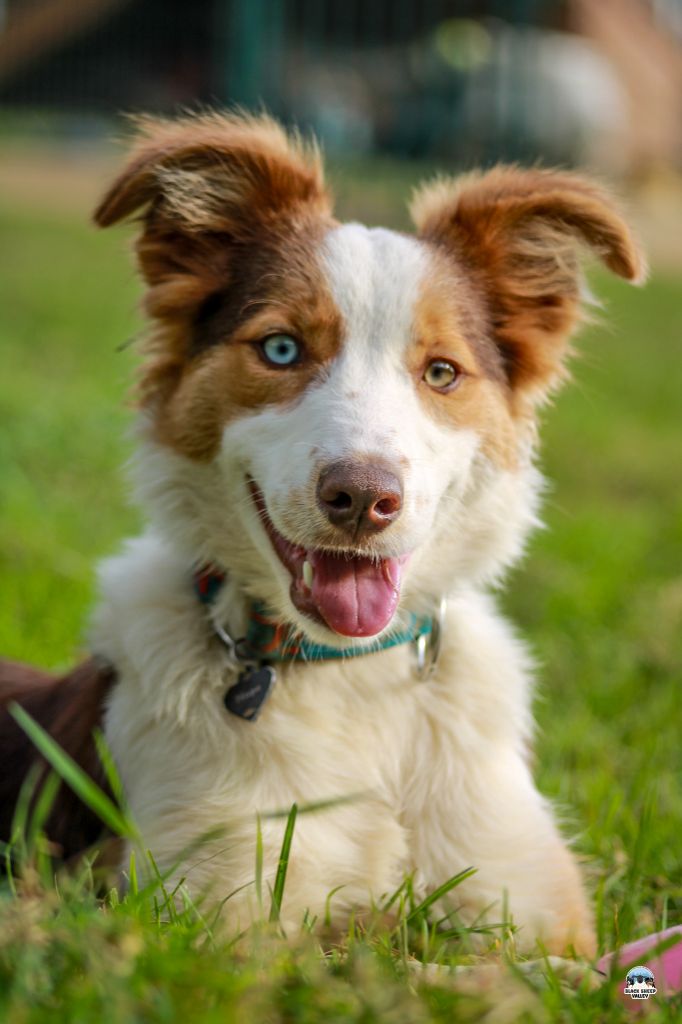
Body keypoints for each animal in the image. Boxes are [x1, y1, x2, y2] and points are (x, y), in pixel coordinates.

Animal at [0, 116, 638, 954]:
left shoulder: (536, 912)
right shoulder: (212, 913)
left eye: (441, 372)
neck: (350, 678)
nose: (364, 498)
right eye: (280, 349)